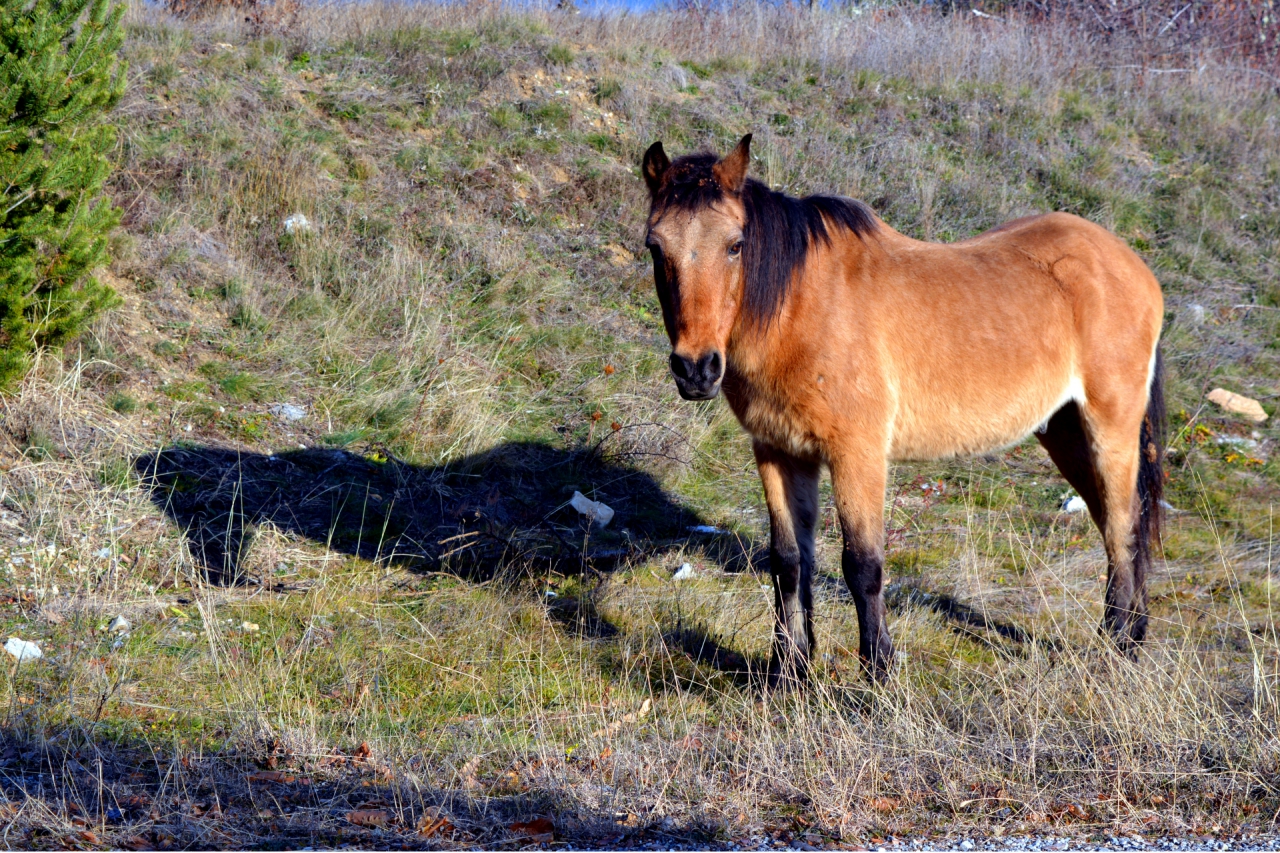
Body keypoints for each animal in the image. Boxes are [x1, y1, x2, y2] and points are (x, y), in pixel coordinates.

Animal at [637, 134, 1162, 686]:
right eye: (656, 246)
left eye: (735, 245)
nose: (696, 369)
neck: (803, 307)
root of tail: (1130, 264)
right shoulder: (779, 452)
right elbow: (788, 561)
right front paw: (788, 671)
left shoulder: (857, 455)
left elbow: (862, 565)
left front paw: (878, 673)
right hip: (1064, 431)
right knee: (1114, 523)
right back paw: (1130, 635)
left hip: (1110, 428)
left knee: (1123, 527)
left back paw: (1118, 648)